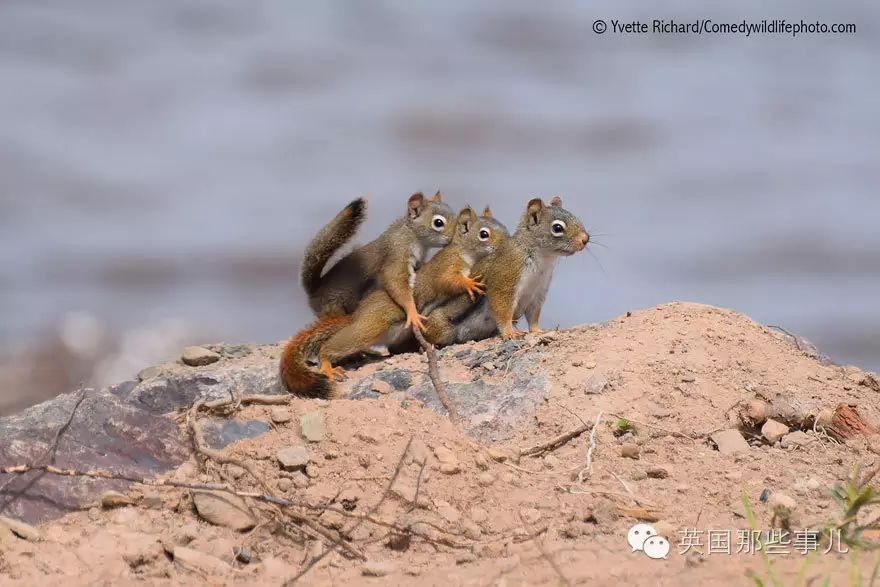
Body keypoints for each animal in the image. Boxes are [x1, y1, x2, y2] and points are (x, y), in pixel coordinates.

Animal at [300, 192, 454, 326]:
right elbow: (395, 281)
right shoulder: (397, 252)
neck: (413, 235)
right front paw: (413, 313)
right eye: (438, 222)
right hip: (336, 304)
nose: (453, 237)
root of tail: (315, 294)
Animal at [422, 198, 588, 344]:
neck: (542, 259)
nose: (585, 239)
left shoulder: (538, 292)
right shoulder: (506, 276)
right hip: (440, 325)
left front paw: (538, 331)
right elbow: (503, 310)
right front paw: (509, 333)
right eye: (557, 228)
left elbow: (533, 316)